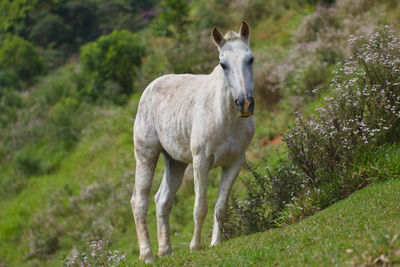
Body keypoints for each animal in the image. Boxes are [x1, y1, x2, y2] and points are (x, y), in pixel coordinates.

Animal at [132, 21, 256, 264]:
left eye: (250, 59)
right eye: (223, 64)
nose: (244, 103)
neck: (225, 116)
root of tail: (150, 87)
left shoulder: (235, 163)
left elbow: (221, 207)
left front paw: (216, 243)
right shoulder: (201, 162)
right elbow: (200, 206)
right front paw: (196, 246)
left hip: (175, 163)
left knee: (162, 201)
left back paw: (165, 251)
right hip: (146, 156)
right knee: (139, 202)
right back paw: (148, 255)